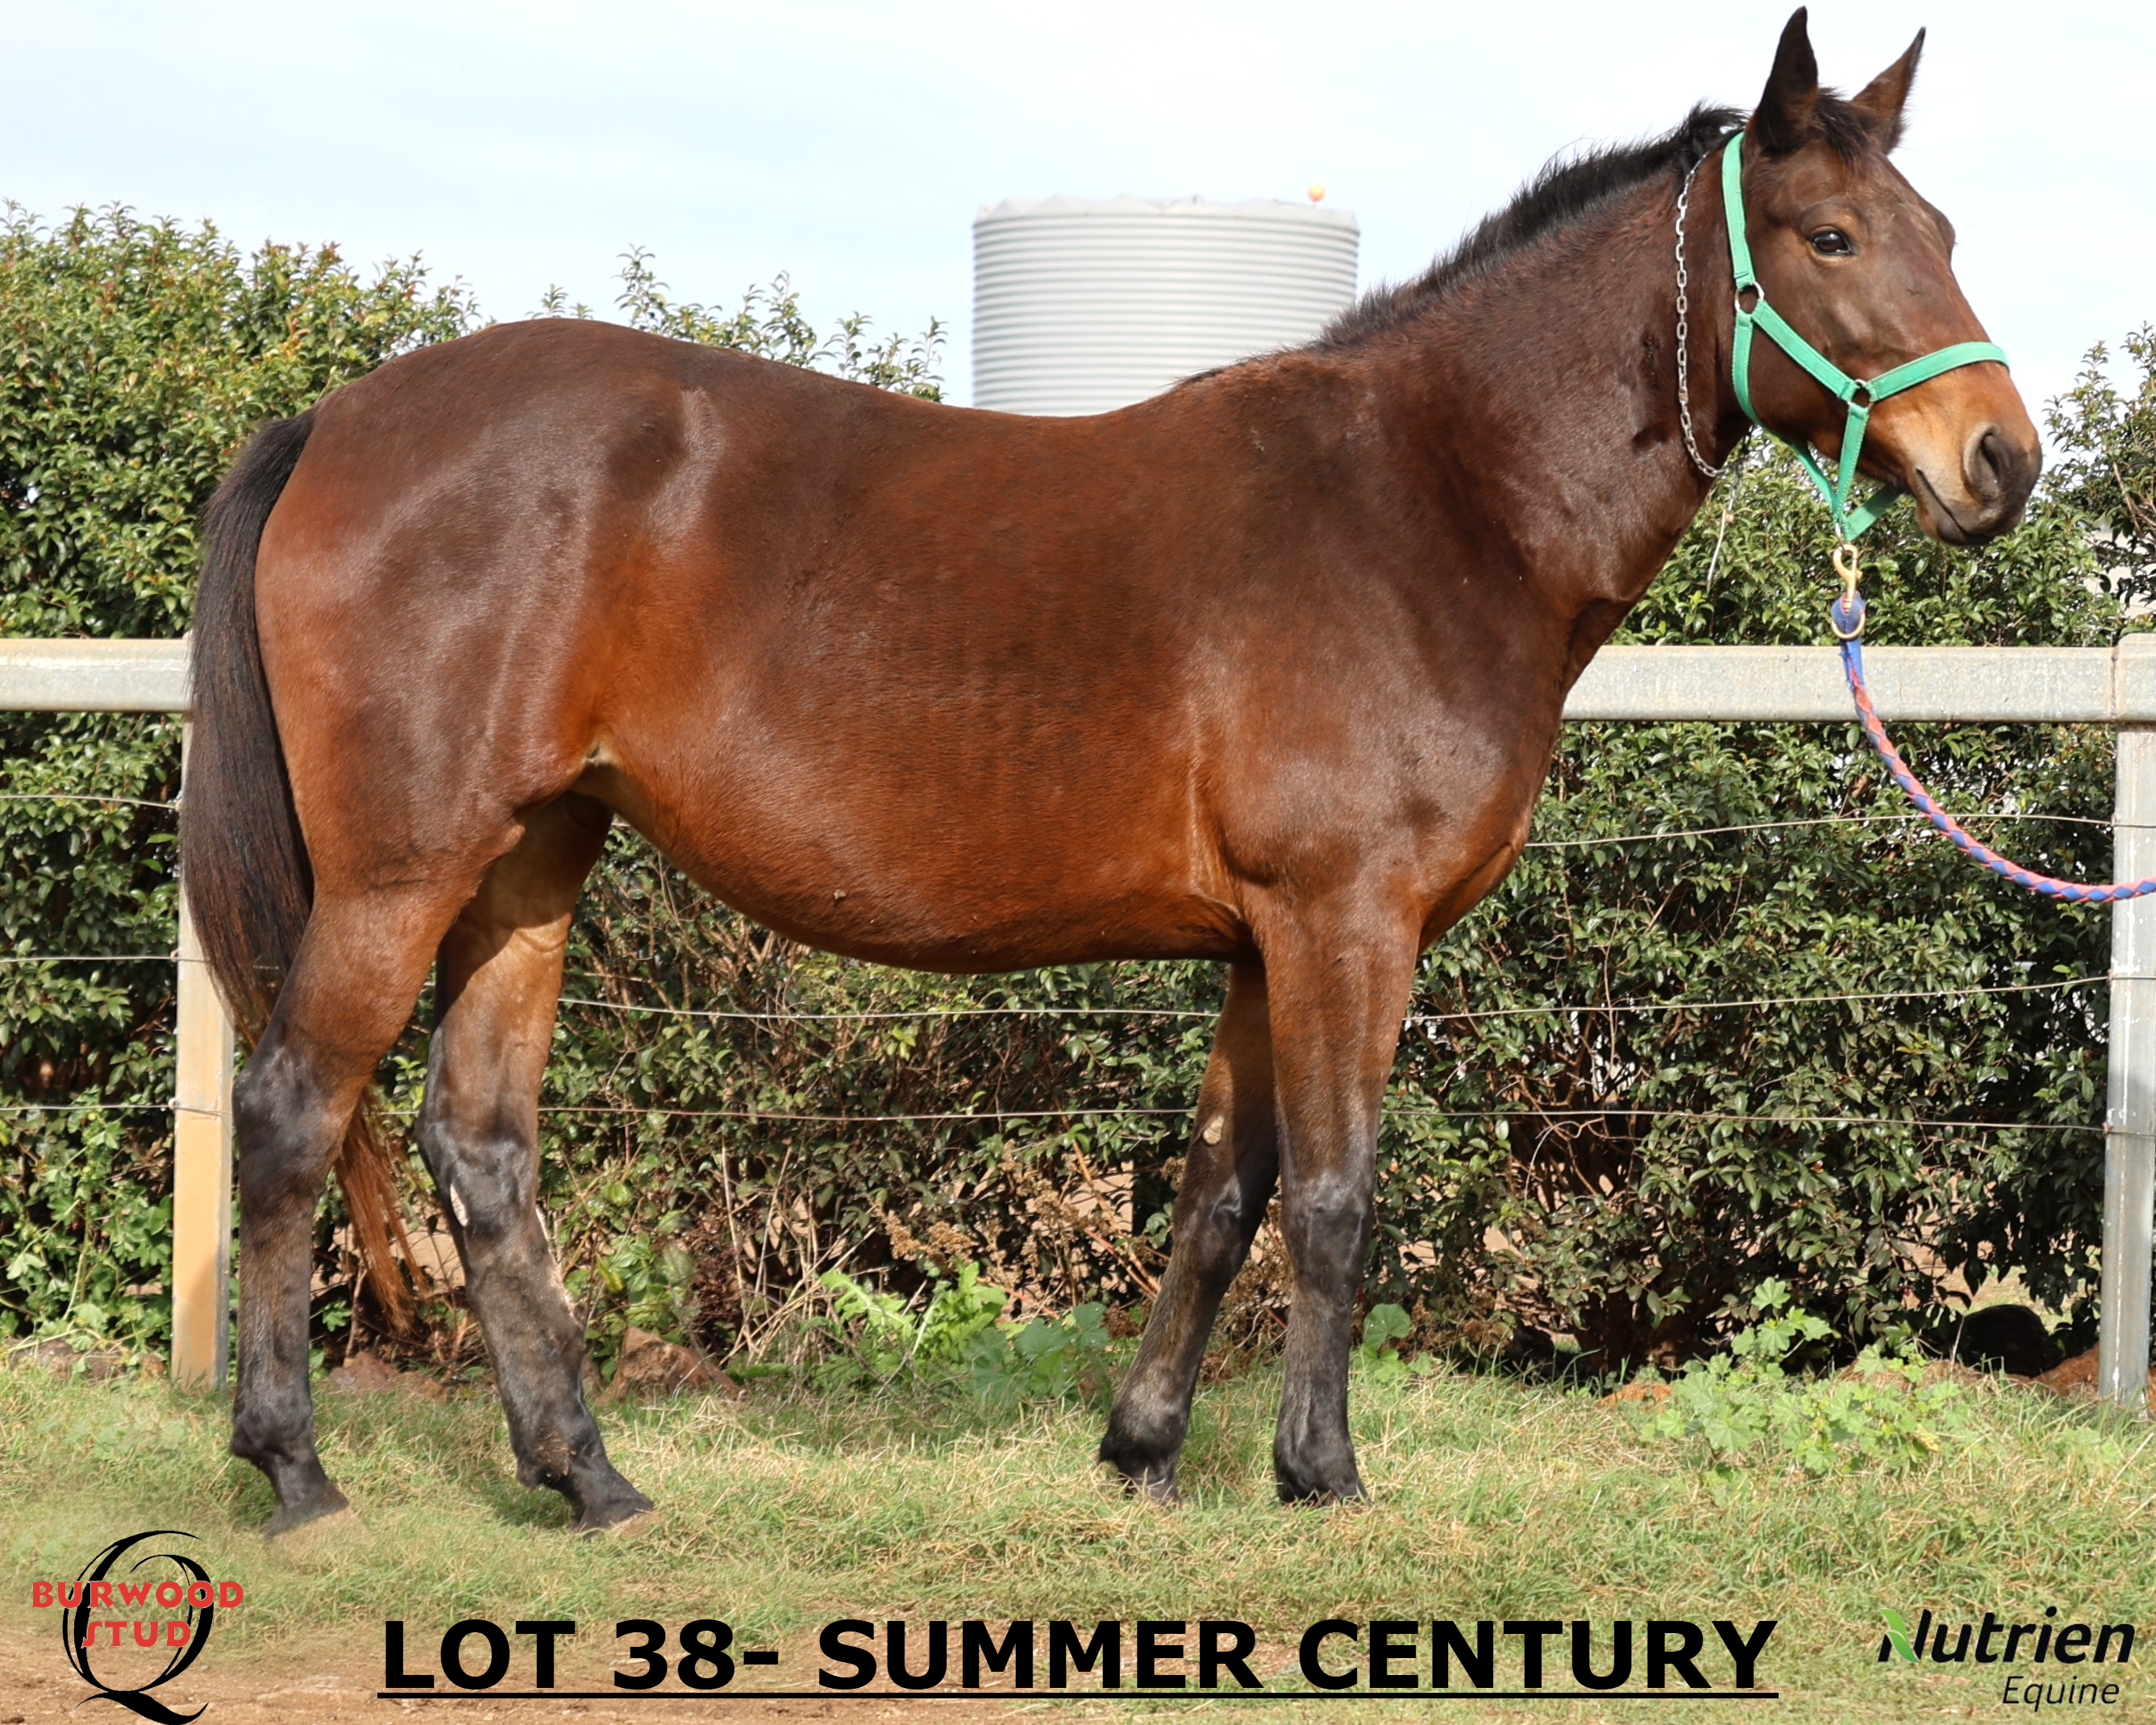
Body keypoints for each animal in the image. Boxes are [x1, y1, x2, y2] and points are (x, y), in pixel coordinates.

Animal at [181, 9, 2038, 1534]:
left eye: (1945, 231)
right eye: (1827, 234)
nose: (1999, 461)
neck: (1426, 505)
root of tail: (335, 419)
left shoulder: (1260, 942)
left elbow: (1225, 1187)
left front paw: (1143, 1448)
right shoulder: (1343, 920)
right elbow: (1337, 1194)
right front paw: (1319, 1472)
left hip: (528, 860)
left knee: (479, 1147)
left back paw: (586, 1474)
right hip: (401, 872)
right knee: (291, 1110)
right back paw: (291, 1466)